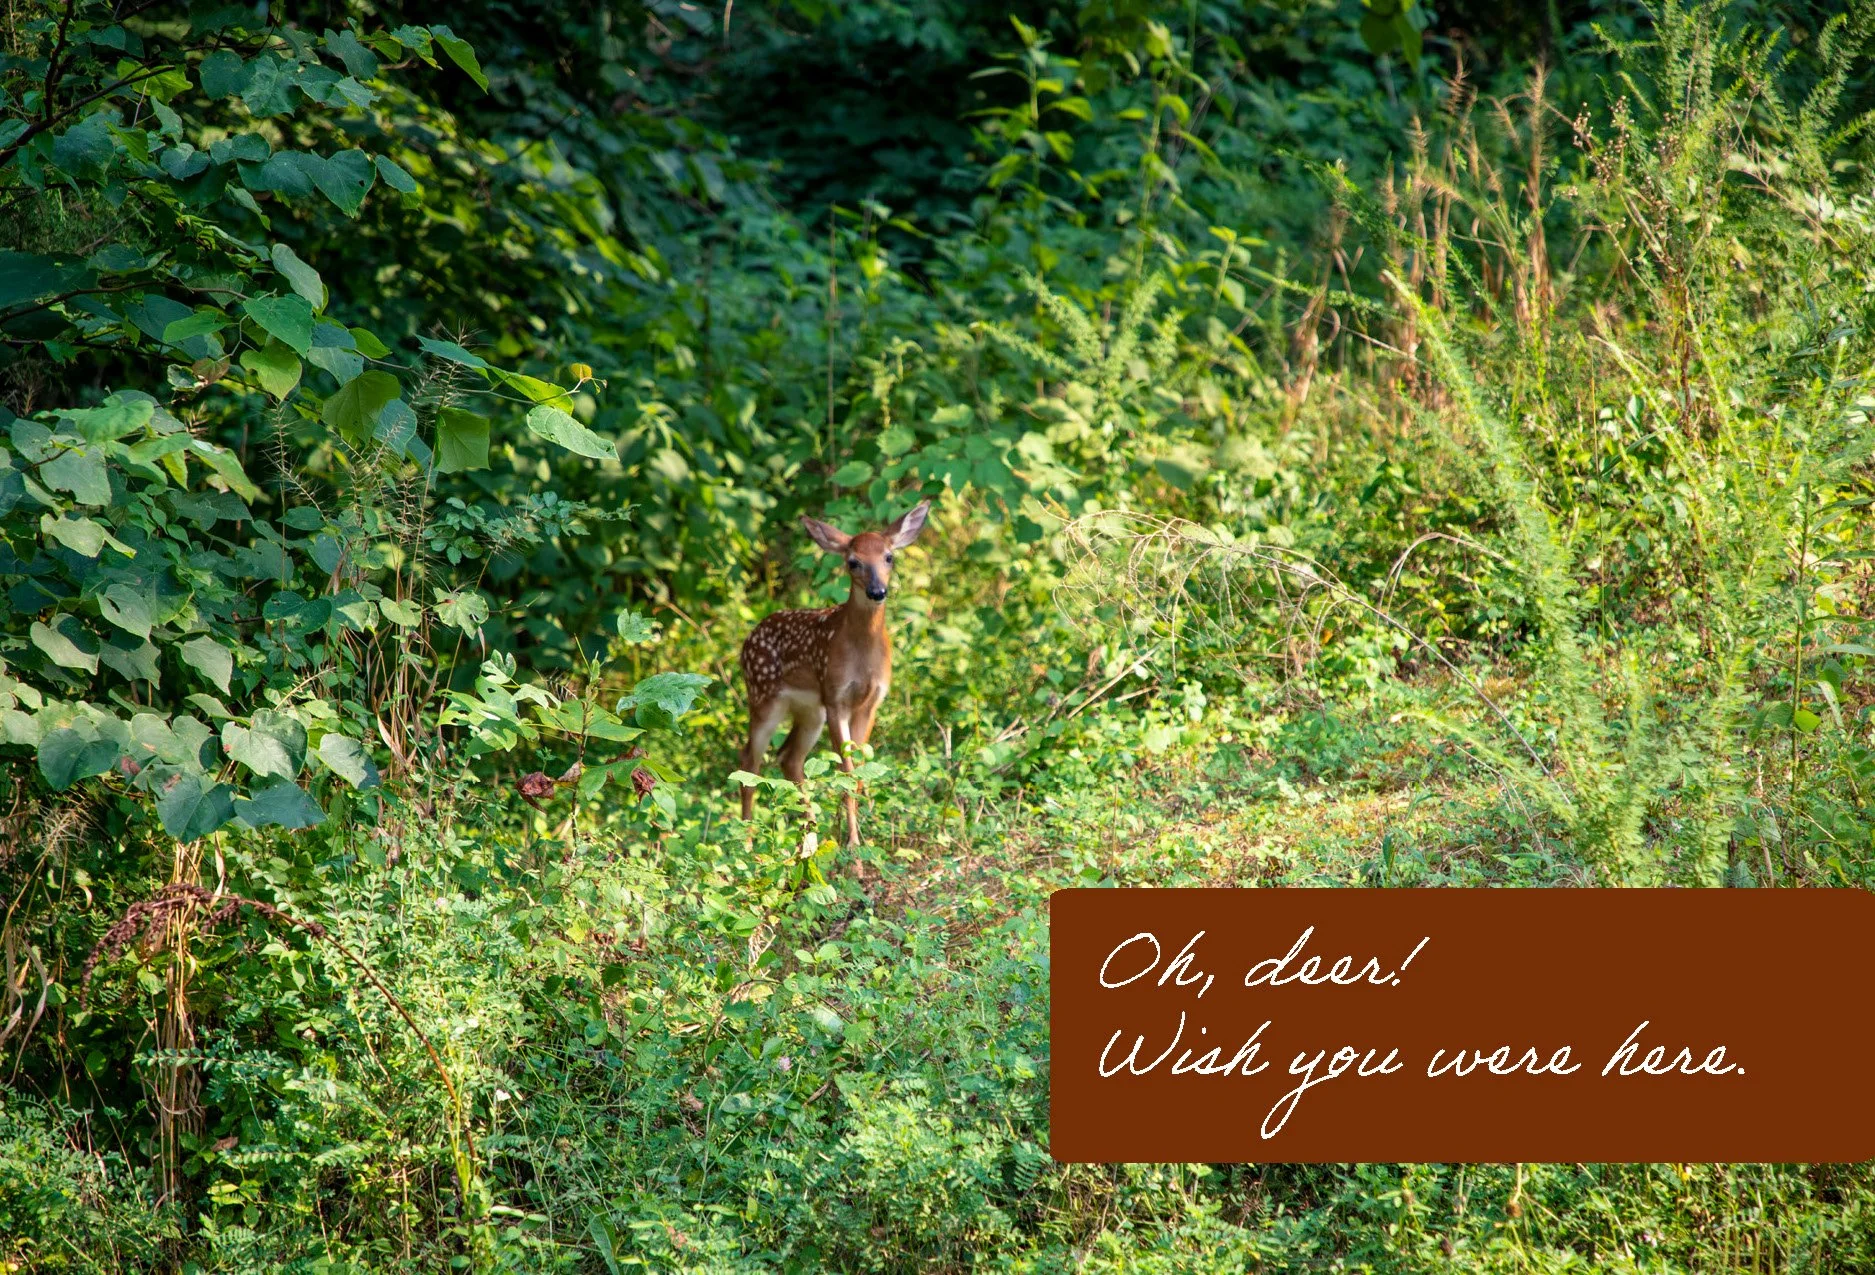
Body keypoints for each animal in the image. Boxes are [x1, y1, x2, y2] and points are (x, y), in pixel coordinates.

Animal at [737, 498, 931, 849]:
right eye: (853, 562)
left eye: (889, 557)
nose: (877, 591)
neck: (861, 655)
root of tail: (748, 640)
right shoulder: (835, 696)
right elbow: (848, 769)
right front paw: (853, 842)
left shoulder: (871, 701)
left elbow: (858, 771)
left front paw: (852, 836)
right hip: (764, 697)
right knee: (749, 761)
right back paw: (746, 842)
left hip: (809, 711)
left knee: (788, 757)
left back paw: (810, 836)